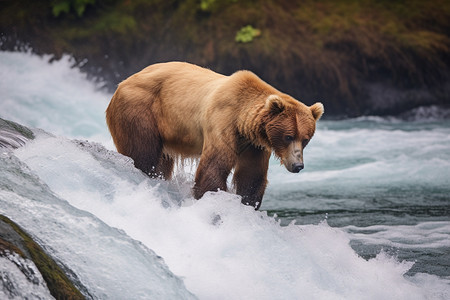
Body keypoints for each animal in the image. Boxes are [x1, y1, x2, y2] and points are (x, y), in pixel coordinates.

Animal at [105, 61, 324, 209]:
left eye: (305, 139)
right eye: (288, 136)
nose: (298, 165)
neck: (243, 122)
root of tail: (121, 84)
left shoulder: (254, 144)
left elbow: (251, 176)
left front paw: (248, 203)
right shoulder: (222, 122)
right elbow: (213, 168)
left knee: (162, 162)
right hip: (140, 111)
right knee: (143, 154)